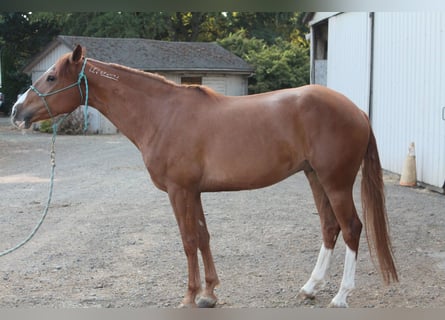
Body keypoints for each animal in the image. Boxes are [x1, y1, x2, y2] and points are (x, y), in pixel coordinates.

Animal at [12, 45, 398, 308]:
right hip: (315, 177)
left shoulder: (179, 191)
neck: (161, 114)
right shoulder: (194, 191)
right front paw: (210, 293)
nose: (16, 111)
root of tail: (357, 110)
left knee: (351, 229)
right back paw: (310, 287)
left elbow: (188, 241)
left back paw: (341, 296)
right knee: (330, 228)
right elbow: (203, 236)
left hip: (336, 182)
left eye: (51, 77)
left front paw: (189, 296)